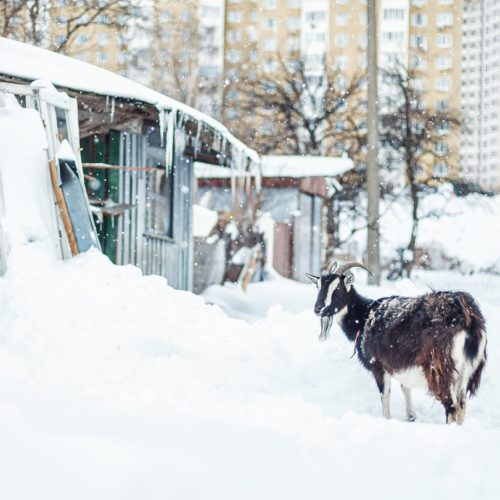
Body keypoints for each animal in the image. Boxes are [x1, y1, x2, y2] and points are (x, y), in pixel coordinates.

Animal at [306, 262, 486, 426]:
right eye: (318, 286)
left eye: (337, 288)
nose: (318, 308)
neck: (363, 317)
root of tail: (466, 317)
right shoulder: (402, 364)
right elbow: (405, 388)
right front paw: (411, 417)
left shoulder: (378, 365)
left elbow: (385, 394)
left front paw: (386, 419)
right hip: (468, 371)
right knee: (461, 404)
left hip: (441, 368)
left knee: (451, 405)